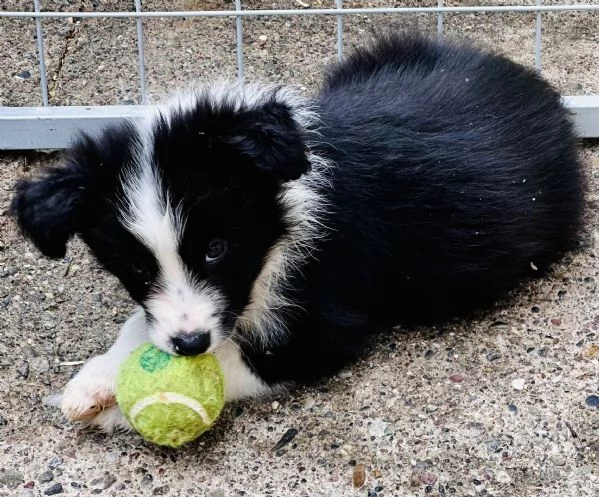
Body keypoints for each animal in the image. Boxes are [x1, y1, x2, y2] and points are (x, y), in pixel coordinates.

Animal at [12, 33, 584, 428]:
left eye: (216, 249)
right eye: (135, 266)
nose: (190, 343)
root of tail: (534, 85)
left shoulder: (325, 320)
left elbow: (233, 362)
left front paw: (120, 409)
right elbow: (143, 322)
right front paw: (95, 379)